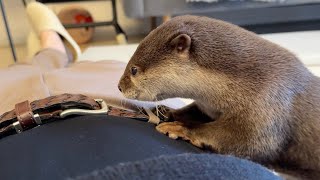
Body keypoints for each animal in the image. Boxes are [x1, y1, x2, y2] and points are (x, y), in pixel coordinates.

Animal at [117, 15, 320, 179]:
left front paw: (182, 128)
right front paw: (168, 112)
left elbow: (252, 141)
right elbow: (193, 110)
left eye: (134, 70)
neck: (246, 78)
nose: (119, 86)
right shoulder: (207, 104)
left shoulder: (268, 102)